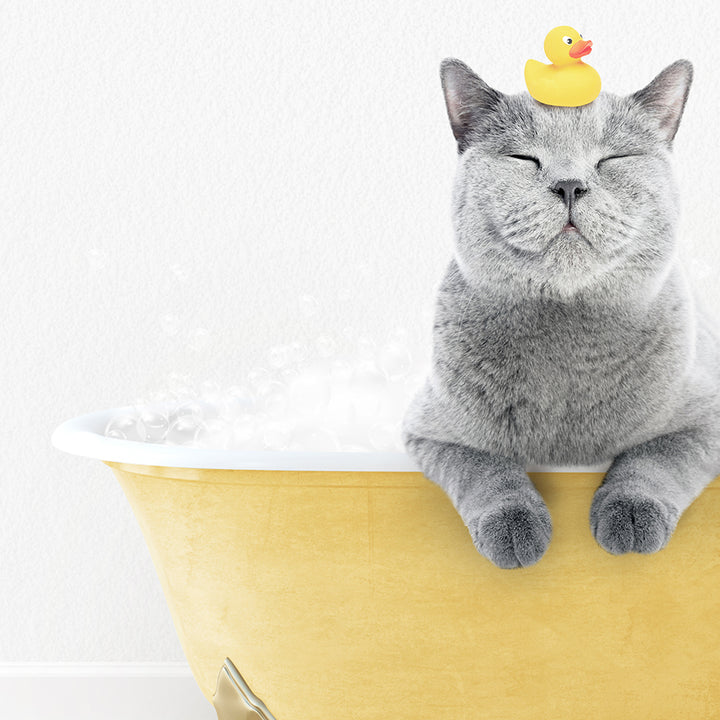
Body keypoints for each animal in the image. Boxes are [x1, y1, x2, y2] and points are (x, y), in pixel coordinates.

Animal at [402, 56, 720, 568]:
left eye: (613, 159)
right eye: (523, 159)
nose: (570, 185)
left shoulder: (706, 415)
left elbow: (654, 459)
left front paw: (630, 516)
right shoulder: (433, 431)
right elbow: (486, 468)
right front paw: (515, 528)